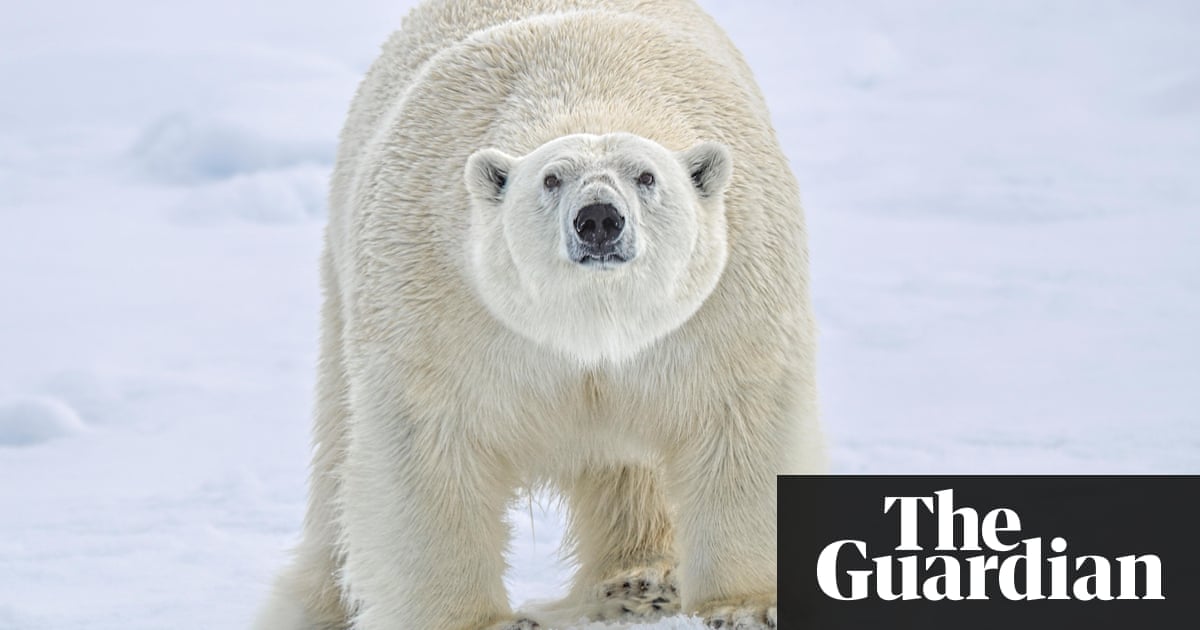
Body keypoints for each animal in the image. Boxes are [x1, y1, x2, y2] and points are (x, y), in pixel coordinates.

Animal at [254, 1, 823, 629]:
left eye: (646, 176)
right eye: (551, 178)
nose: (599, 219)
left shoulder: (726, 301)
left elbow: (740, 424)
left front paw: (745, 605)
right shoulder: (441, 296)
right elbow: (429, 446)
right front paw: (478, 620)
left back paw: (641, 584)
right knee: (337, 452)